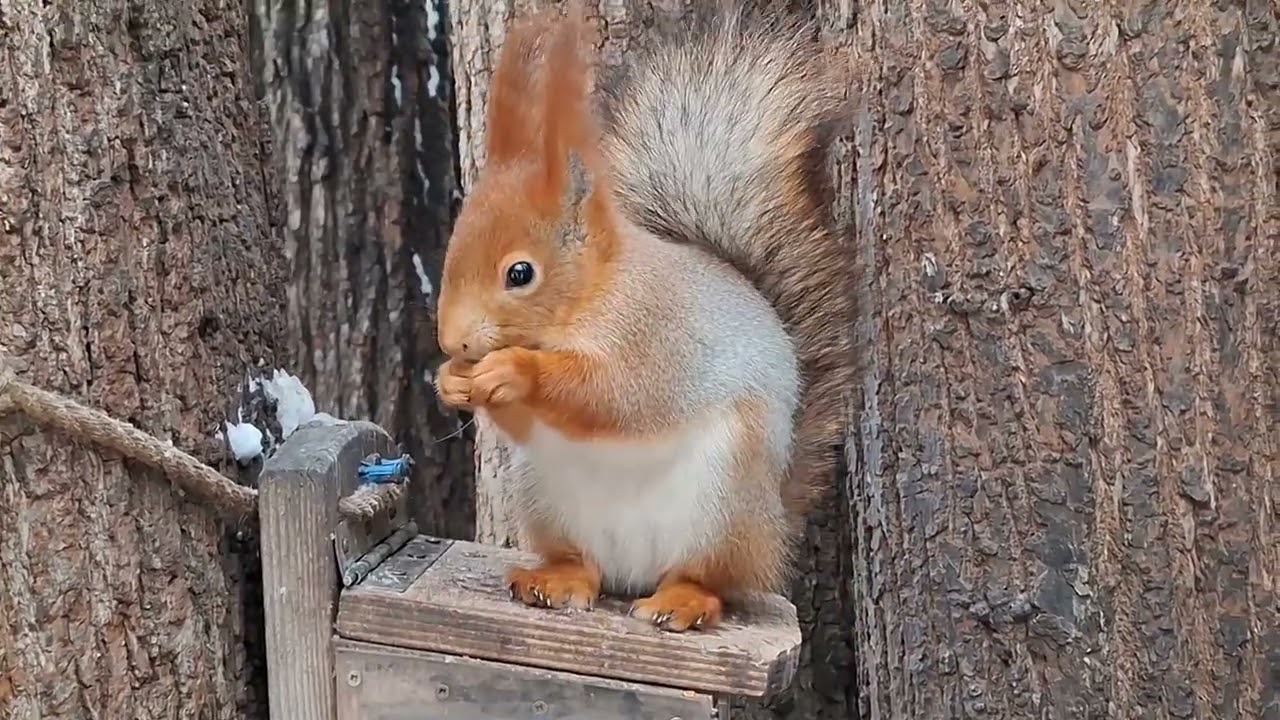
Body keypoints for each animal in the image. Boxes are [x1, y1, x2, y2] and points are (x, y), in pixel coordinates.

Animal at [434, 0, 852, 633]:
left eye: (520, 273)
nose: (453, 342)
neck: (590, 296)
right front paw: (453, 382)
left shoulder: (656, 333)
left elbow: (616, 396)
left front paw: (514, 371)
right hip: (547, 499)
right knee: (587, 567)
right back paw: (557, 580)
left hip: (723, 504)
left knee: (711, 577)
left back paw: (684, 600)